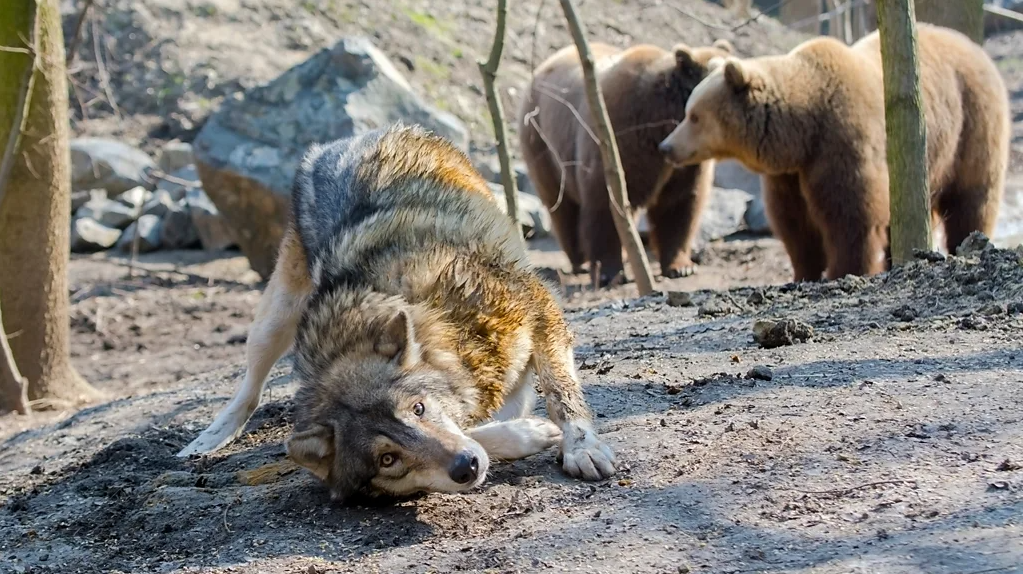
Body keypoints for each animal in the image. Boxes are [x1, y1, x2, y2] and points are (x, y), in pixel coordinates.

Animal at [178, 123, 613, 499]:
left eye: (418, 409)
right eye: (388, 459)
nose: (466, 468)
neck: (441, 324)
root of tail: (343, 140)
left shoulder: (537, 305)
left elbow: (559, 393)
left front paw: (581, 447)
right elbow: (480, 430)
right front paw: (525, 435)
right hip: (274, 321)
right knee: (249, 390)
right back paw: (206, 441)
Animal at [519, 38, 736, 284]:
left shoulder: (685, 164)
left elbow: (679, 204)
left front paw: (681, 266)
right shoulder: (619, 138)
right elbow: (605, 203)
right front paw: (609, 272)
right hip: (543, 143)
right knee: (562, 206)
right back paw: (580, 260)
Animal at [658, 24, 1010, 282]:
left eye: (695, 116)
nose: (667, 146)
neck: (803, 130)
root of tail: (975, 47)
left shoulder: (842, 143)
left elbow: (851, 215)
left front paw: (844, 271)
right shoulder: (789, 173)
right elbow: (794, 222)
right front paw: (804, 273)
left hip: (971, 122)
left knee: (972, 197)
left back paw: (968, 242)